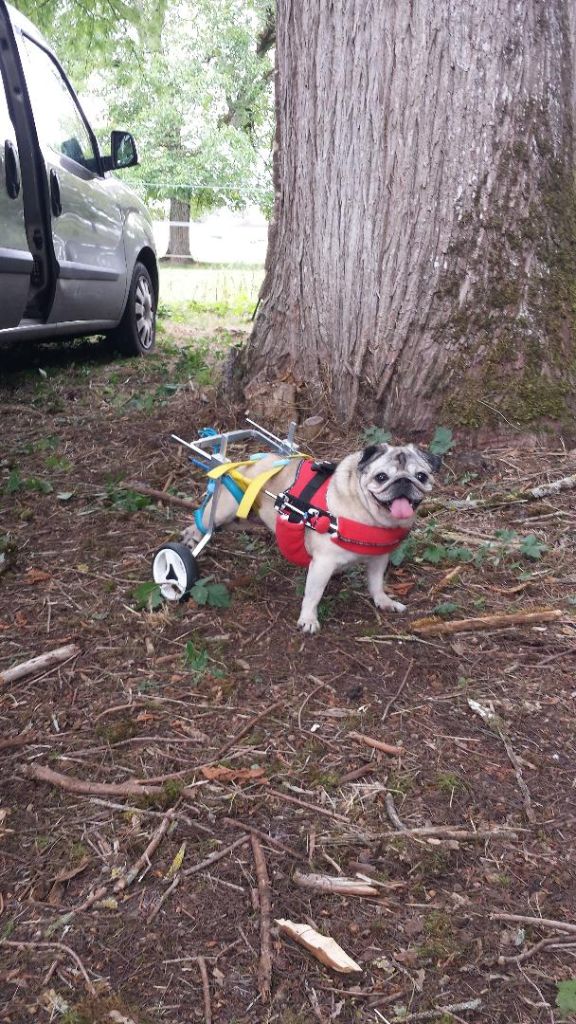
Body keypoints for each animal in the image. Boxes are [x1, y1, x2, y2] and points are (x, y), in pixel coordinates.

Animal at [183, 446, 438, 634]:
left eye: (421, 476)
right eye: (381, 477)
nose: (404, 481)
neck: (368, 515)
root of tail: (249, 461)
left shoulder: (379, 558)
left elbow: (376, 584)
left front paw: (384, 601)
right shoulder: (323, 563)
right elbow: (313, 594)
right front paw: (308, 619)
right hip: (224, 507)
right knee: (201, 522)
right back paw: (190, 541)